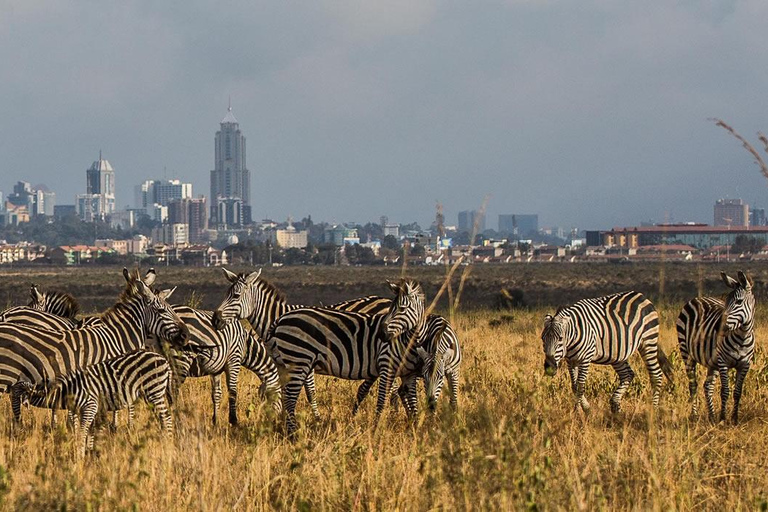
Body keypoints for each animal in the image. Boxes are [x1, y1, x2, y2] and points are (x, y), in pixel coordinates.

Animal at [12, 352, 174, 456]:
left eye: (15, 397)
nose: (17, 422)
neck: (65, 391)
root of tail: (164, 360)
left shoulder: (90, 406)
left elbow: (82, 432)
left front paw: (80, 455)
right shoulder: (80, 410)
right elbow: (85, 431)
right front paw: (89, 452)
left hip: (154, 391)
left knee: (166, 417)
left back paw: (168, 442)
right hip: (152, 394)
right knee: (162, 418)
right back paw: (163, 438)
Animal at [266, 278, 426, 438]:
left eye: (402, 309)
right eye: (392, 309)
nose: (382, 334)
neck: (406, 340)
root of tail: (280, 319)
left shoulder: (408, 374)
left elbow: (412, 401)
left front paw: (415, 427)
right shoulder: (387, 364)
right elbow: (382, 400)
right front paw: (376, 429)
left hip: (285, 364)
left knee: (283, 395)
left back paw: (283, 428)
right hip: (299, 360)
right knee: (290, 399)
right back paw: (293, 433)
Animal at [540, 292, 672, 412]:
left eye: (560, 338)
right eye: (542, 339)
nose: (549, 367)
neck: (571, 339)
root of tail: (642, 296)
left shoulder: (585, 358)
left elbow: (581, 386)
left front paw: (578, 411)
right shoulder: (571, 360)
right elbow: (574, 386)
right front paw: (585, 408)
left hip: (648, 341)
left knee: (656, 375)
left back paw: (653, 410)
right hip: (617, 353)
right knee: (627, 374)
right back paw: (615, 406)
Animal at [680, 270, 756, 422]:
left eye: (739, 302)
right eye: (726, 302)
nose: (717, 327)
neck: (742, 338)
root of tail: (699, 297)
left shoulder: (745, 364)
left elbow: (738, 392)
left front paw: (734, 419)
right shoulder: (723, 362)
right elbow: (725, 391)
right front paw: (722, 418)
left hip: (712, 362)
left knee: (707, 386)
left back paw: (711, 416)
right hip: (686, 353)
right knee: (693, 385)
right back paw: (695, 416)